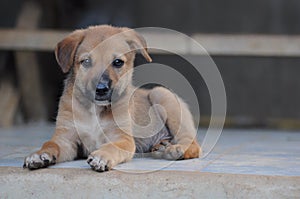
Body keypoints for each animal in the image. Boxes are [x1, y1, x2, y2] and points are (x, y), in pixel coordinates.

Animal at [24, 24, 202, 171]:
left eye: (118, 62)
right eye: (86, 62)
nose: (101, 89)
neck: (95, 110)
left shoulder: (122, 138)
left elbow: (112, 147)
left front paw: (102, 156)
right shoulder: (66, 138)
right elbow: (51, 143)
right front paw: (39, 155)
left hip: (161, 94)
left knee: (193, 142)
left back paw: (177, 149)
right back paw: (162, 145)